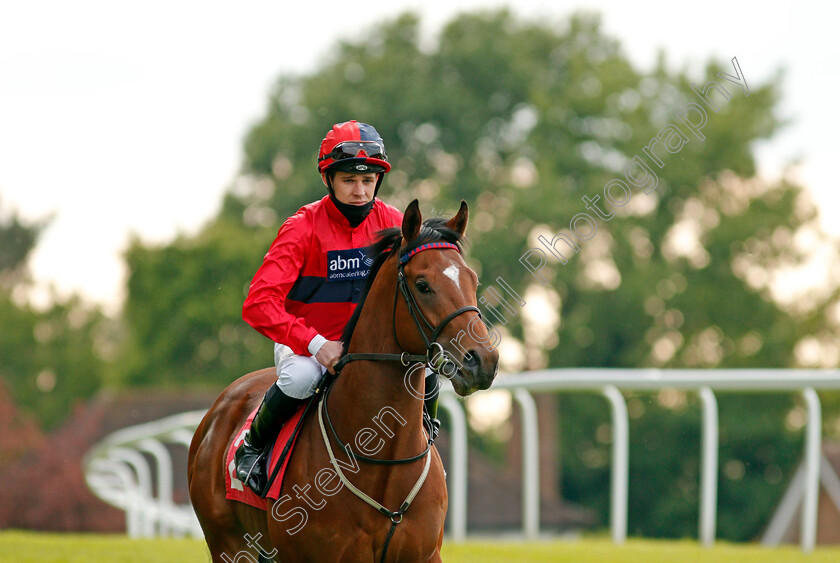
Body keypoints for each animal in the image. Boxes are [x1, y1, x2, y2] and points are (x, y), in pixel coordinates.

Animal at [189, 200, 498, 560]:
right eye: (423, 284)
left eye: (472, 279)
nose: (483, 361)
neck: (381, 459)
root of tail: (214, 415)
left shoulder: (424, 554)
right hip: (228, 543)